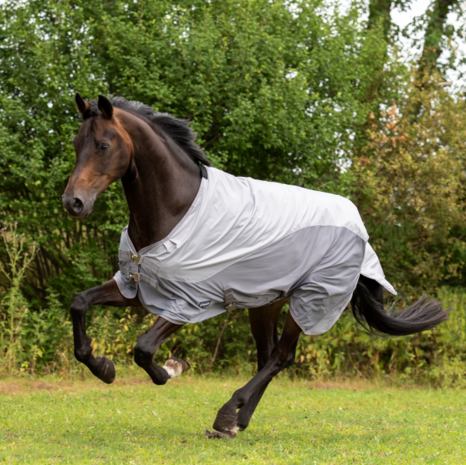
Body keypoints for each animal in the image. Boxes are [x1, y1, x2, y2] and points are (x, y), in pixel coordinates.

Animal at [62, 95, 448, 438]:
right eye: (77, 143)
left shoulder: (190, 302)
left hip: (310, 300)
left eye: (103, 145)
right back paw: (237, 421)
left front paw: (173, 368)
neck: (178, 208)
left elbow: (143, 349)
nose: (73, 202)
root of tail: (358, 226)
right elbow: (79, 303)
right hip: (266, 303)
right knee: (268, 357)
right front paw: (103, 367)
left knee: (281, 356)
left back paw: (226, 415)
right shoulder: (136, 285)